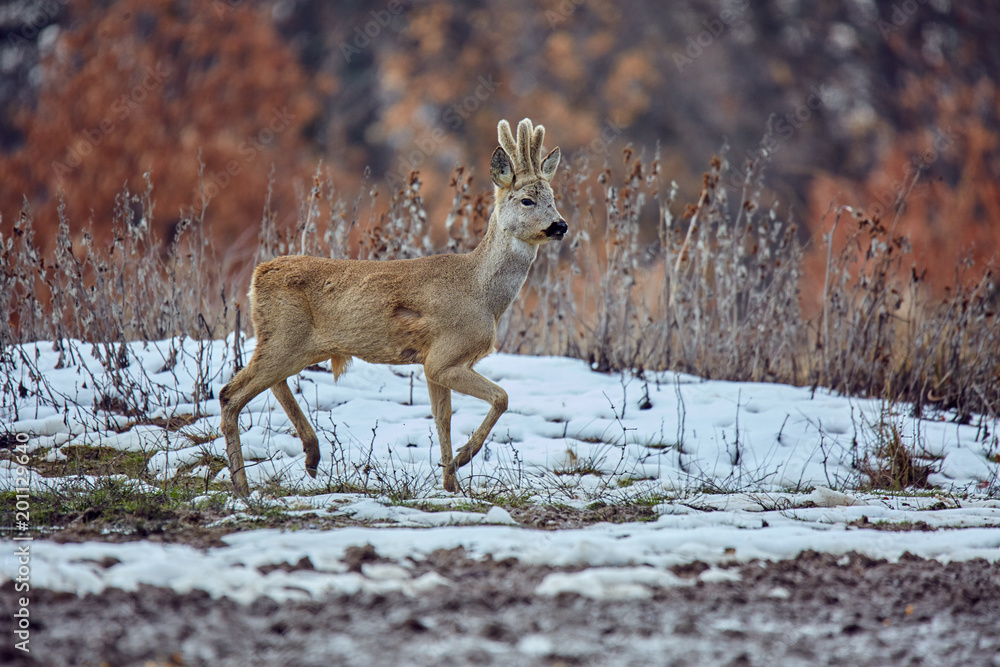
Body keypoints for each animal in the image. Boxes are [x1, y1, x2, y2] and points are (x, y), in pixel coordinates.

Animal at [219, 118, 566, 495]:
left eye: (553, 198)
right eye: (527, 200)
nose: (560, 225)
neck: (481, 292)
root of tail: (258, 275)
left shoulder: (432, 363)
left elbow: (442, 418)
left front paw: (450, 483)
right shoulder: (445, 355)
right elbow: (501, 397)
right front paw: (463, 459)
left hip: (296, 344)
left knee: (268, 384)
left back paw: (310, 456)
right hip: (285, 337)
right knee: (230, 393)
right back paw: (242, 486)